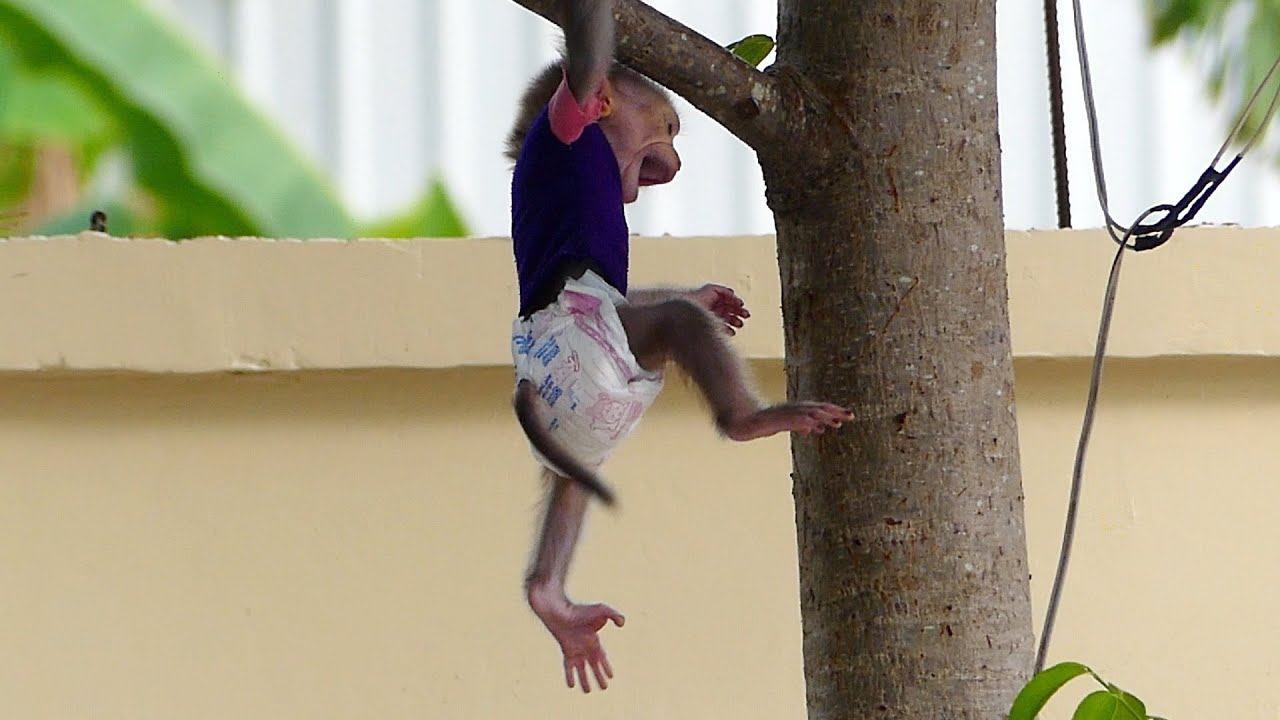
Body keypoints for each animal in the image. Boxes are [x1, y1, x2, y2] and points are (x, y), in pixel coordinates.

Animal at [506, 0, 854, 693]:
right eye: (667, 126)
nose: (675, 160)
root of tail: (528, 365)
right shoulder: (571, 115)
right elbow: (586, 73)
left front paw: (716, 295)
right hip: (594, 355)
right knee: (675, 324)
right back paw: (752, 420)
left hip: (580, 413)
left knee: (575, 477)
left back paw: (550, 601)